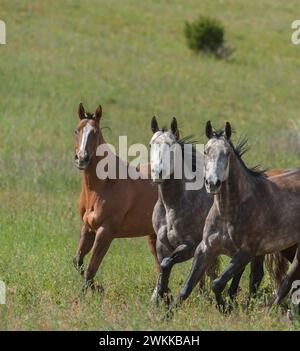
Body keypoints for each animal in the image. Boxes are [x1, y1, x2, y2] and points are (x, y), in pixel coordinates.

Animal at [72, 103, 159, 290]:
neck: (105, 184)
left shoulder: (106, 231)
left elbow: (90, 269)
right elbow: (78, 262)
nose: (82, 158)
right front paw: (98, 288)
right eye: (77, 130)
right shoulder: (88, 228)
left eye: (95, 132)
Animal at [150, 117, 274, 304]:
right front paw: (161, 297)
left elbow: (167, 263)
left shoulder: (191, 245)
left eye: (171, 146)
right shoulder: (162, 245)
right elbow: (163, 266)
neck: (173, 204)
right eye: (151, 144)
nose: (157, 173)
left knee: (255, 274)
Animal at [173, 121, 300, 310]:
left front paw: (224, 307)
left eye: (227, 153)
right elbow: (186, 288)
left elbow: (217, 283)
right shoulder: (205, 248)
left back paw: (268, 309)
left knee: (289, 278)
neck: (229, 211)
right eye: (206, 151)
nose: (212, 183)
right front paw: (166, 312)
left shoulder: (246, 252)